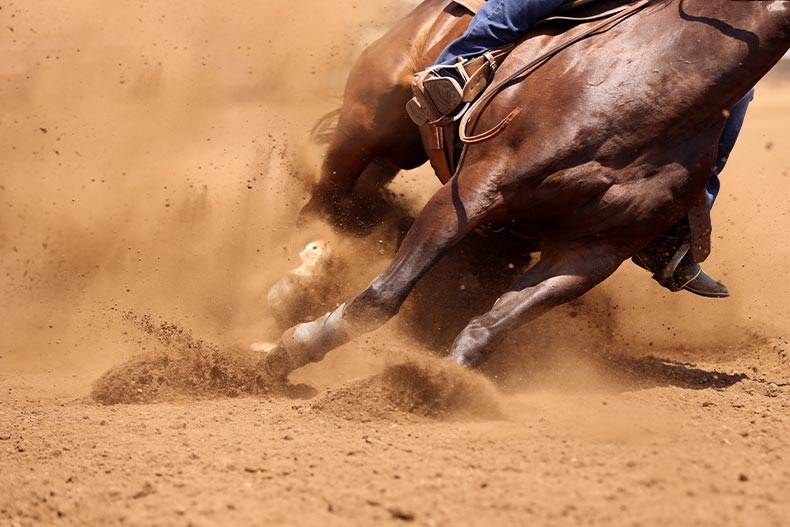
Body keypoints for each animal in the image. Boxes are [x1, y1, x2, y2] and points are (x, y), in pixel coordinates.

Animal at [260, 0, 790, 380]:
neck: (659, 79)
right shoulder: (475, 189)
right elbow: (383, 297)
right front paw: (290, 350)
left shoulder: (591, 253)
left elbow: (488, 329)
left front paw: (440, 383)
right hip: (365, 131)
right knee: (324, 207)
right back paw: (294, 282)